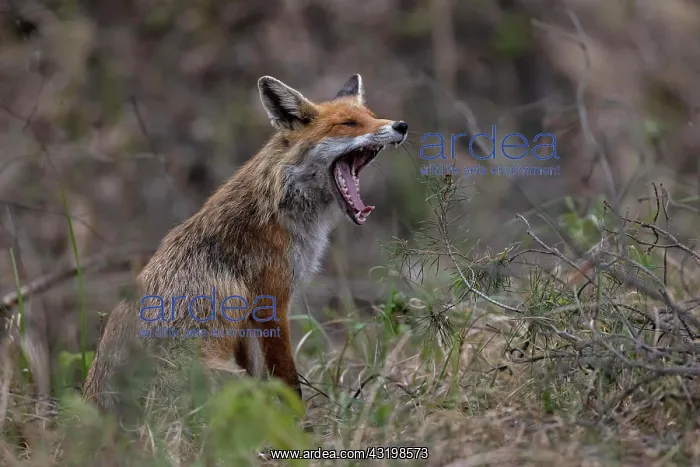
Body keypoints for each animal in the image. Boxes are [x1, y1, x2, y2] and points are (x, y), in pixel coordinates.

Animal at [82, 74, 408, 411]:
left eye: (371, 116)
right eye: (348, 123)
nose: (401, 125)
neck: (280, 204)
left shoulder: (249, 321)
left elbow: (265, 373)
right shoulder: (271, 303)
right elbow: (287, 380)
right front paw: (300, 419)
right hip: (231, 382)